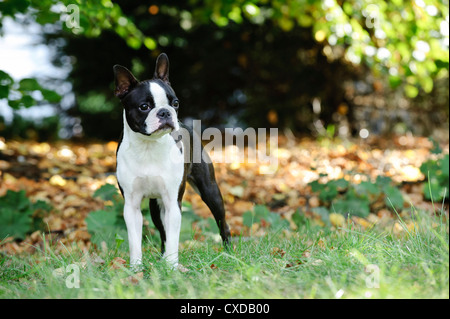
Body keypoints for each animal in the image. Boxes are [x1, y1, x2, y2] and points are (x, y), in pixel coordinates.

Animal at [112, 53, 232, 268]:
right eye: (144, 107)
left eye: (175, 103)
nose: (165, 112)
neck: (148, 146)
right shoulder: (131, 206)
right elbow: (135, 240)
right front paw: (136, 268)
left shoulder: (172, 202)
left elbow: (174, 237)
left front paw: (172, 266)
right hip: (155, 205)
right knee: (162, 233)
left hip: (210, 191)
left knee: (222, 223)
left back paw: (229, 253)